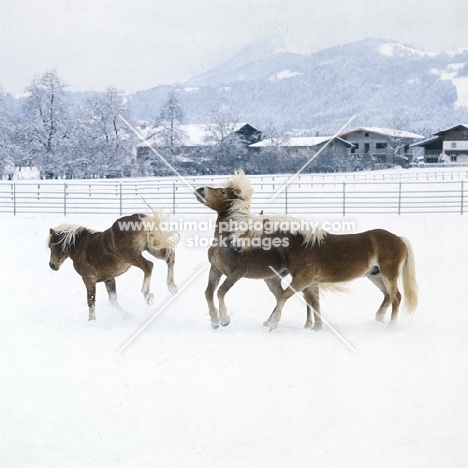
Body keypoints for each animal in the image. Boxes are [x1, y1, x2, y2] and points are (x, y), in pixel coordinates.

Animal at [47, 213, 179, 320]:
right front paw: (127, 317)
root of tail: (138, 218)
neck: (80, 245)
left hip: (132, 256)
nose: (52, 265)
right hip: (152, 248)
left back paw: (148, 296)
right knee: (170, 256)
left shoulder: (88, 279)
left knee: (148, 266)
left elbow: (91, 301)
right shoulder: (109, 279)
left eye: (51, 246)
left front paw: (92, 321)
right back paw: (172, 287)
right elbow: (113, 301)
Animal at [196, 171, 418, 330]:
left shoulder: (301, 279)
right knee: (388, 297)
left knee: (396, 298)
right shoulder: (308, 281)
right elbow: (312, 302)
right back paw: (378, 319)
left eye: (250, 231)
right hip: (375, 275)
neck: (300, 245)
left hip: (388, 275)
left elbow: (286, 296)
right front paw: (315, 327)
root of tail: (398, 238)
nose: (234, 246)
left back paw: (391, 327)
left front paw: (273, 324)